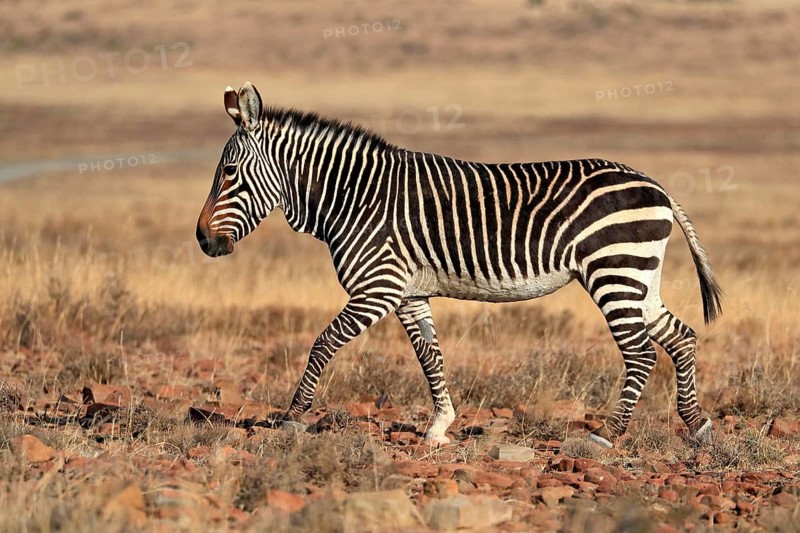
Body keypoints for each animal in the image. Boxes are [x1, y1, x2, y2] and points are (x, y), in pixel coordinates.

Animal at [196, 82, 722, 447]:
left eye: (229, 172)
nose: (202, 240)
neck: (353, 196)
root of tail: (656, 185)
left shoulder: (377, 288)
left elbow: (322, 344)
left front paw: (291, 417)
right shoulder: (408, 293)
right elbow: (430, 357)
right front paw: (439, 427)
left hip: (614, 270)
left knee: (641, 352)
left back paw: (607, 435)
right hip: (639, 276)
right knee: (681, 337)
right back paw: (697, 426)